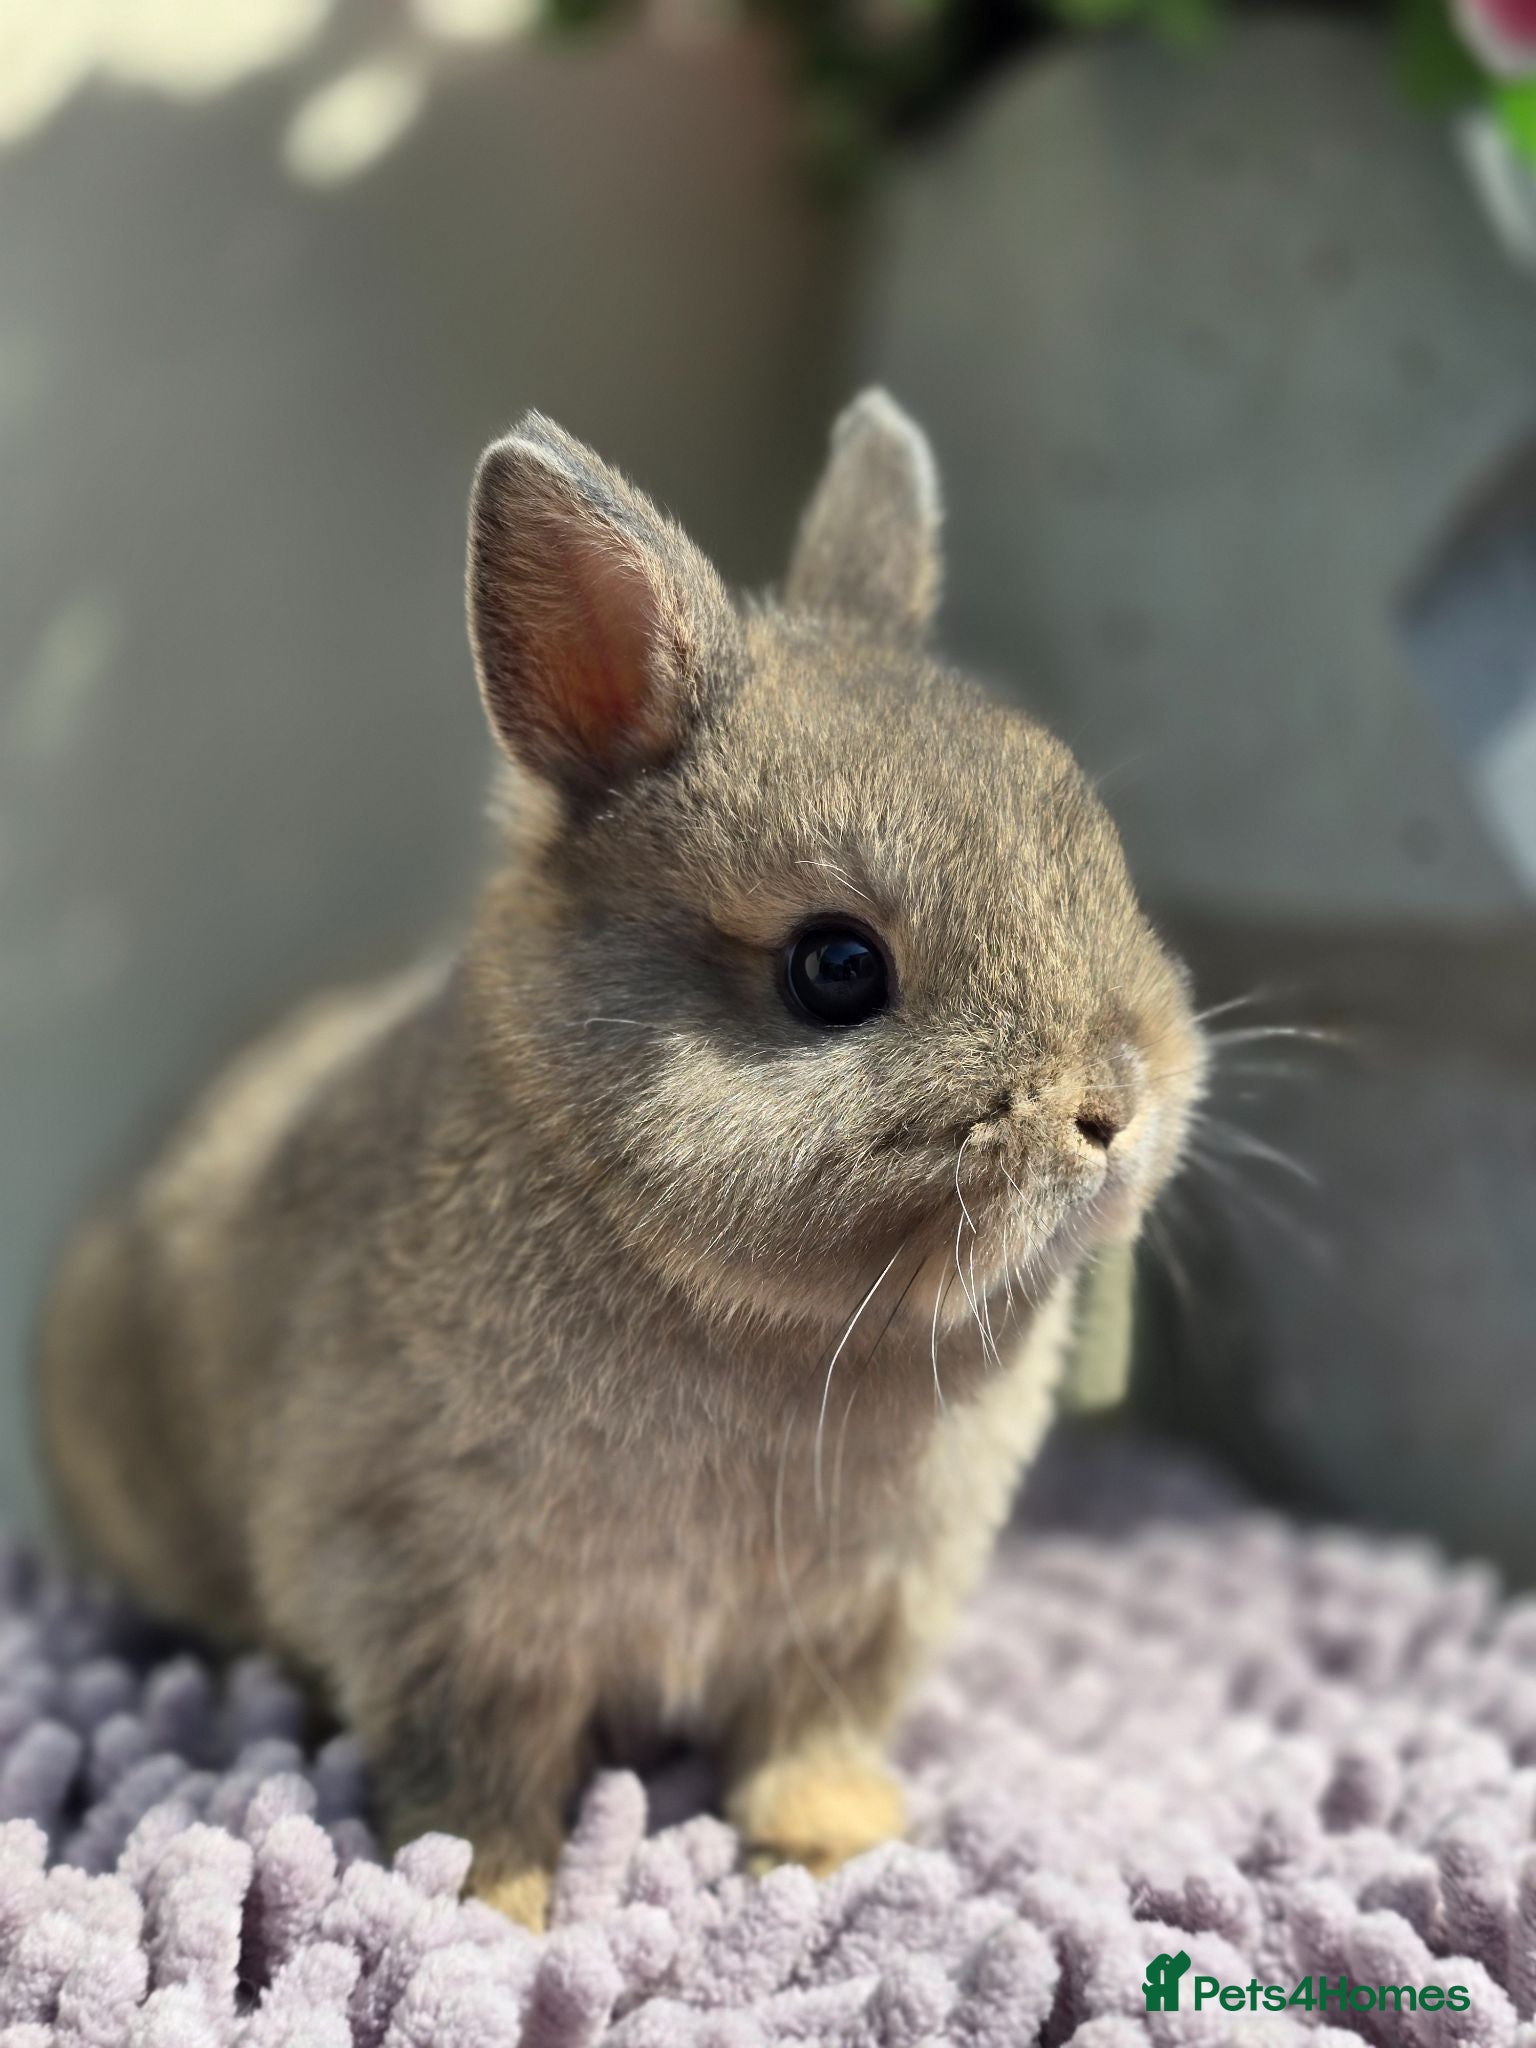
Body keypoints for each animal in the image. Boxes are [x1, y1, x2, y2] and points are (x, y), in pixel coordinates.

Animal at [38, 391, 1206, 1928]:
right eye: (836, 967)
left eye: (1092, 846)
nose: (1115, 1104)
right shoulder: (445, 1608)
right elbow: (477, 1775)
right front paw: (494, 1910)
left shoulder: (859, 1621)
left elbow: (809, 1736)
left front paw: (837, 1843)